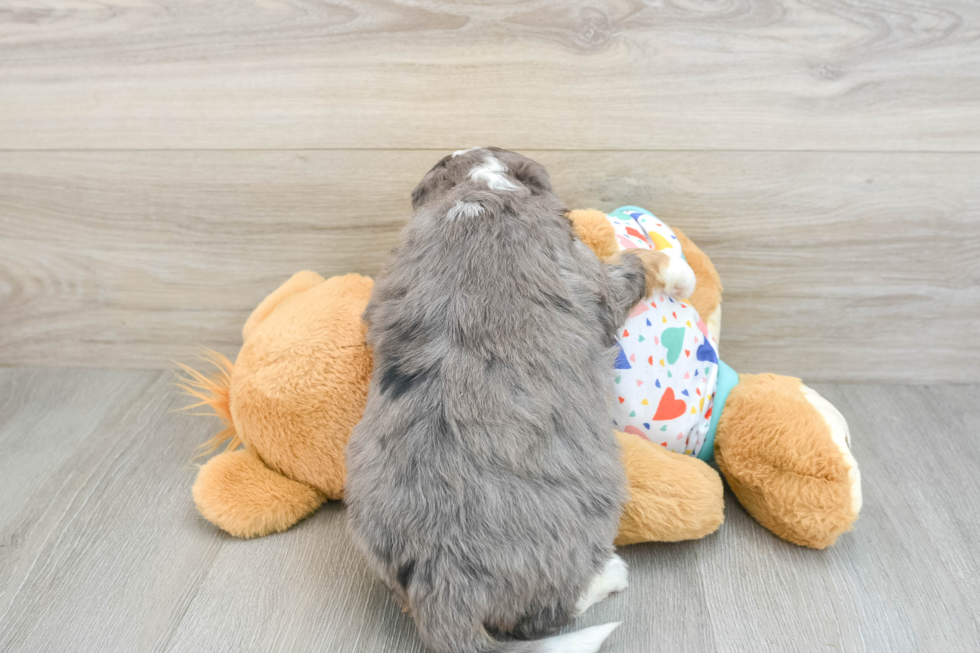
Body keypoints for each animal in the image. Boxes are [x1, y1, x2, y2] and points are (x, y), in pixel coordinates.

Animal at [344, 148, 696, 652]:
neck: (478, 194)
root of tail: (443, 584)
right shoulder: (593, 281)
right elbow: (636, 263)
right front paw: (679, 272)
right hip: (583, 530)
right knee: (546, 616)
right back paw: (609, 576)